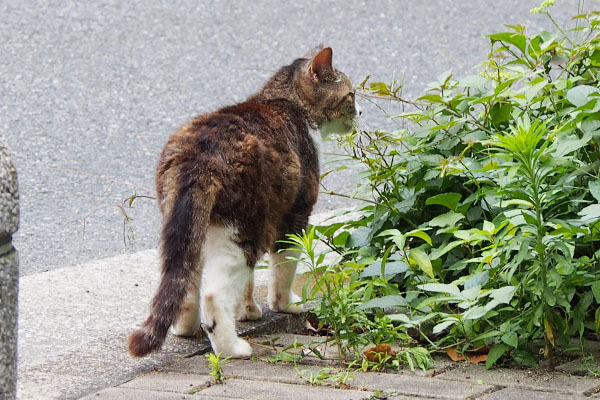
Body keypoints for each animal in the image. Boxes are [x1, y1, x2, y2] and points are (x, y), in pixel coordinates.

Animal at [129, 45, 358, 358]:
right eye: (351, 95)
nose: (360, 111)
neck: (283, 102)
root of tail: (199, 155)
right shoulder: (294, 216)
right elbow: (283, 269)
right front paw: (286, 305)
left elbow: (248, 283)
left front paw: (247, 311)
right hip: (245, 230)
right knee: (213, 295)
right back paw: (232, 348)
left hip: (192, 229)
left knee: (187, 280)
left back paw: (185, 329)